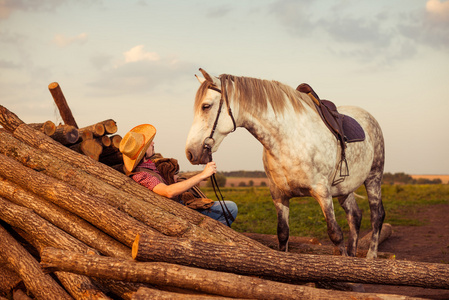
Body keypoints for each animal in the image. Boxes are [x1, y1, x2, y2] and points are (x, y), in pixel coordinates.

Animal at [186, 68, 384, 258]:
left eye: (206, 106)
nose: (190, 153)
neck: (288, 139)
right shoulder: (279, 194)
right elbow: (282, 233)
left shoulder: (323, 192)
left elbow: (335, 233)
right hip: (344, 188)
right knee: (355, 216)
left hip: (373, 178)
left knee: (377, 215)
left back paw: (371, 256)